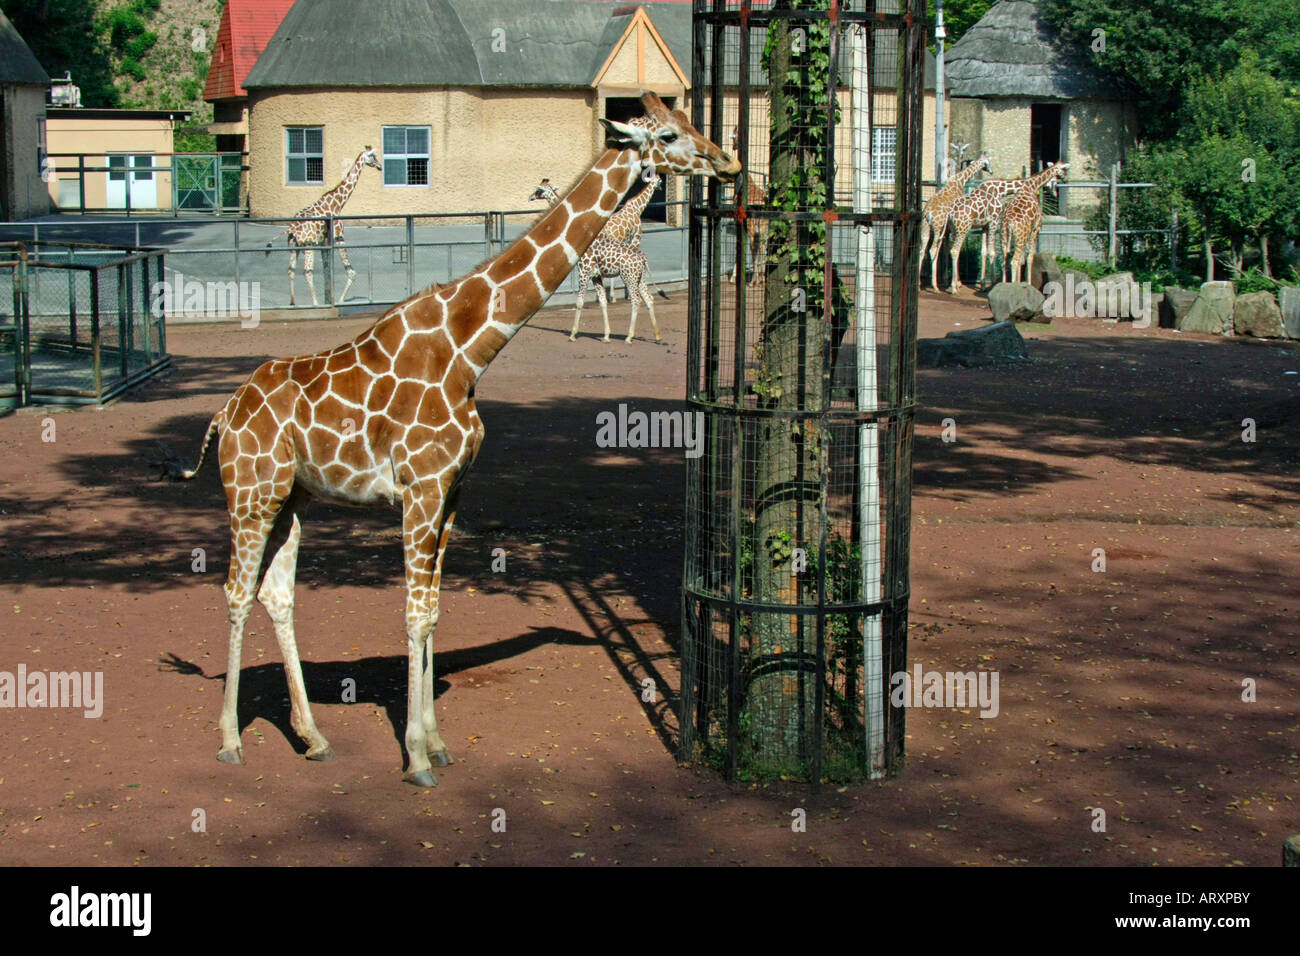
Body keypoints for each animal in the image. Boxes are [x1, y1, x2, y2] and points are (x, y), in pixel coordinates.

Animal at [266, 145, 379, 306]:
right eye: (373, 156)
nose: (379, 166)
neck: (337, 203)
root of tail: (292, 228)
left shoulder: (324, 242)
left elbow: (327, 270)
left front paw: (329, 299)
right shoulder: (338, 236)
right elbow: (351, 271)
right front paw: (338, 301)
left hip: (294, 246)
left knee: (290, 269)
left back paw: (293, 302)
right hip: (309, 245)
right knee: (307, 271)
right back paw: (315, 303)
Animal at [530, 180, 670, 343]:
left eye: (539, 190)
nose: (530, 197)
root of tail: (643, 258)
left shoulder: (584, 271)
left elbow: (579, 302)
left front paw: (573, 334)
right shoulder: (596, 275)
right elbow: (603, 302)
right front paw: (606, 335)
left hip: (628, 275)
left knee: (636, 300)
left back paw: (629, 337)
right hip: (639, 277)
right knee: (648, 297)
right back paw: (657, 336)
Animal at [946, 162, 1066, 293]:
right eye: (1059, 174)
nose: (1064, 179)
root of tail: (950, 213)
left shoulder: (985, 226)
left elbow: (984, 252)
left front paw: (984, 285)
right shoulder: (998, 222)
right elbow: (998, 253)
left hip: (955, 231)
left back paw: (955, 283)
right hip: (965, 229)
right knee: (955, 250)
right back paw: (954, 287)